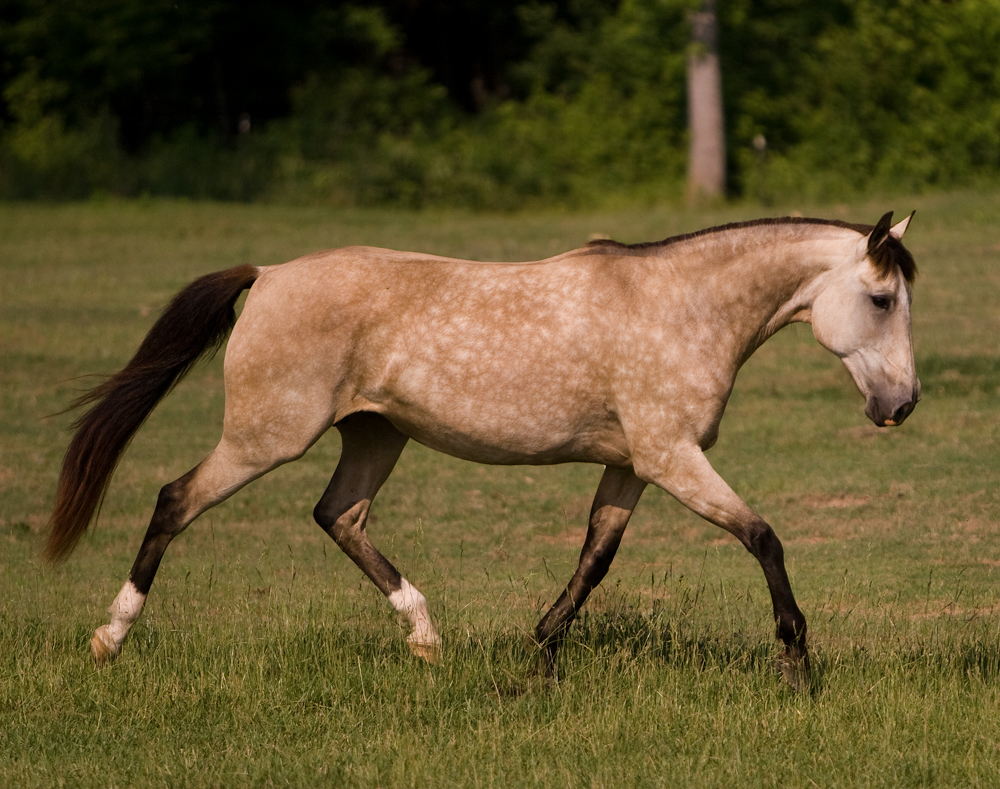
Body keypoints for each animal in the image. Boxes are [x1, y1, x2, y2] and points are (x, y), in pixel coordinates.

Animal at [48, 211, 920, 688]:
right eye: (881, 300)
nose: (901, 405)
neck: (682, 306)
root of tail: (265, 276)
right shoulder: (672, 458)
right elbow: (762, 536)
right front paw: (795, 660)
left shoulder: (632, 466)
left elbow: (594, 559)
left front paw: (538, 660)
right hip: (268, 436)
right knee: (176, 499)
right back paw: (108, 638)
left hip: (376, 434)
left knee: (340, 516)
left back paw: (426, 639)